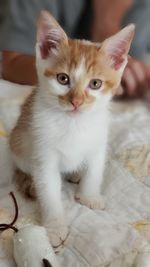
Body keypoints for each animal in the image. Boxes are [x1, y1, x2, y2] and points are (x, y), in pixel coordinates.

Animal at [9, 11, 135, 248]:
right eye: (63, 78)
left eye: (95, 84)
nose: (76, 102)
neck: (74, 123)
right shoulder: (43, 153)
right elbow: (49, 191)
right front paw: (54, 227)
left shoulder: (98, 141)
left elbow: (94, 170)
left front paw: (89, 195)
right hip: (19, 142)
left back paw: (77, 174)